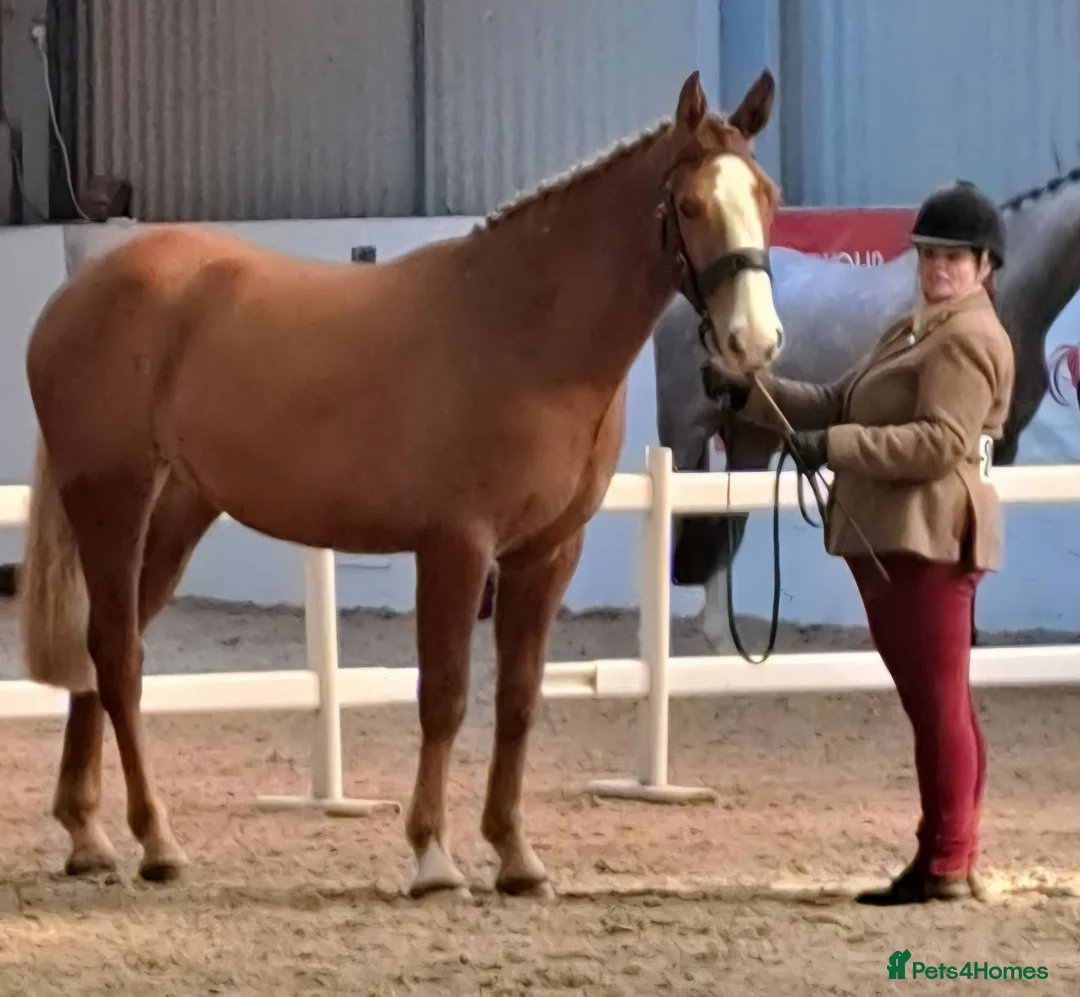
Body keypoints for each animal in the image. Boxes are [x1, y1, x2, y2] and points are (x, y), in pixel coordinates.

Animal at [19, 69, 784, 899]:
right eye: (690, 204)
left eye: (767, 196)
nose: (755, 342)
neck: (523, 331)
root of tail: (73, 297)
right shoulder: (456, 545)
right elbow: (444, 696)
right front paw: (433, 856)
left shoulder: (547, 553)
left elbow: (519, 698)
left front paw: (516, 856)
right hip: (114, 499)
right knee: (118, 656)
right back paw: (156, 841)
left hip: (177, 511)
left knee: (103, 650)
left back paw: (88, 835)